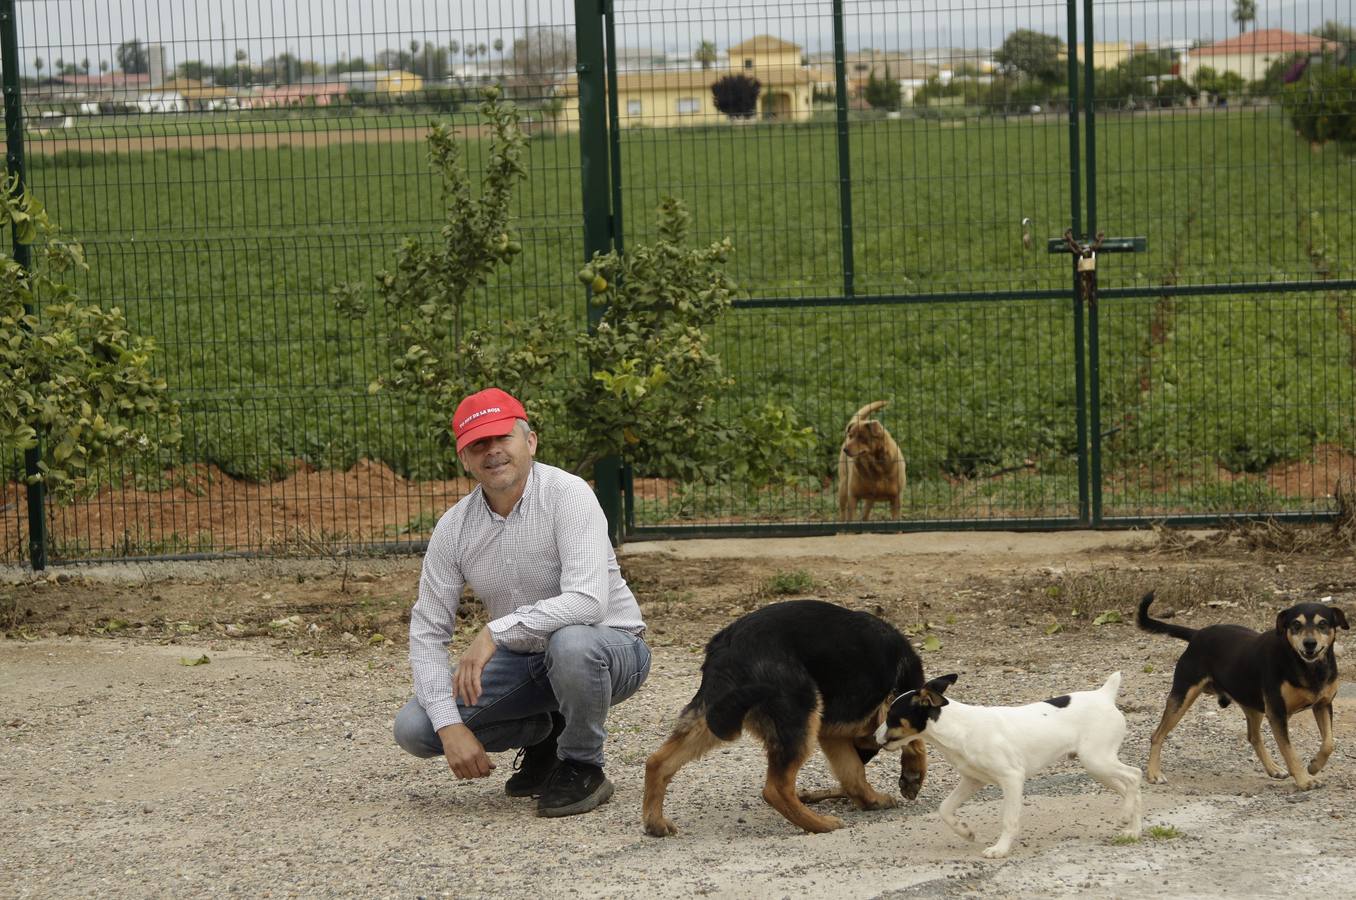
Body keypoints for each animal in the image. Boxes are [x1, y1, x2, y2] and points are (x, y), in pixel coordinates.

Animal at [640, 596, 927, 834]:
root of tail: (728, 647)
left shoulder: (833, 735)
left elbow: (853, 772)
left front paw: (871, 799)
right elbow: (916, 742)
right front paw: (912, 776)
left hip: (710, 718)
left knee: (658, 762)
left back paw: (655, 823)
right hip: (800, 714)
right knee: (775, 789)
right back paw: (819, 825)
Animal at [873, 672, 1139, 856]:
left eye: (891, 717)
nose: (874, 737)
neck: (959, 727)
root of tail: (1104, 695)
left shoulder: (1012, 779)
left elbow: (1009, 820)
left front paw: (1000, 849)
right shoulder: (973, 780)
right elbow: (945, 809)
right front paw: (965, 831)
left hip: (1097, 760)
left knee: (1134, 776)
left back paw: (1129, 820)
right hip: (1098, 767)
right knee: (1127, 787)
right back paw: (1133, 830)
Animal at [1139, 590, 1350, 786]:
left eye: (1323, 624)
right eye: (1296, 625)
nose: (1309, 643)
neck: (1308, 667)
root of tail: (1197, 634)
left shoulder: (1323, 705)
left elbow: (1329, 743)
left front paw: (1314, 766)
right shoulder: (1277, 712)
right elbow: (1289, 751)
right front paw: (1304, 780)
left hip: (1252, 703)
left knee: (1254, 737)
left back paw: (1273, 769)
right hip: (1183, 696)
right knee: (1157, 735)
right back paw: (1154, 773)